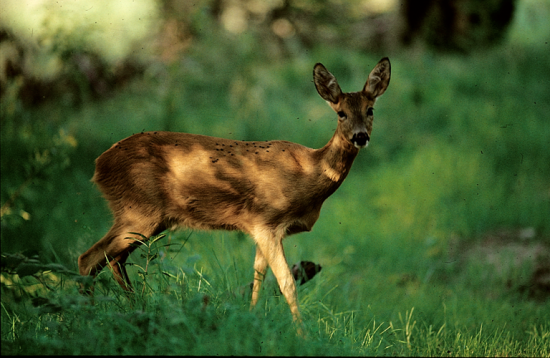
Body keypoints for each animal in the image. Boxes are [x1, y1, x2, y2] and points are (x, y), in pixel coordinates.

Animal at [78, 57, 392, 334]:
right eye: (341, 113)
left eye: (370, 110)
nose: (360, 136)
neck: (309, 172)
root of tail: (98, 165)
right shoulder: (267, 222)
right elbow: (286, 282)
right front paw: (303, 335)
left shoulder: (261, 228)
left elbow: (257, 277)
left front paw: (252, 318)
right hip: (139, 210)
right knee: (88, 258)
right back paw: (87, 314)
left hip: (148, 218)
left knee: (113, 260)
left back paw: (133, 306)